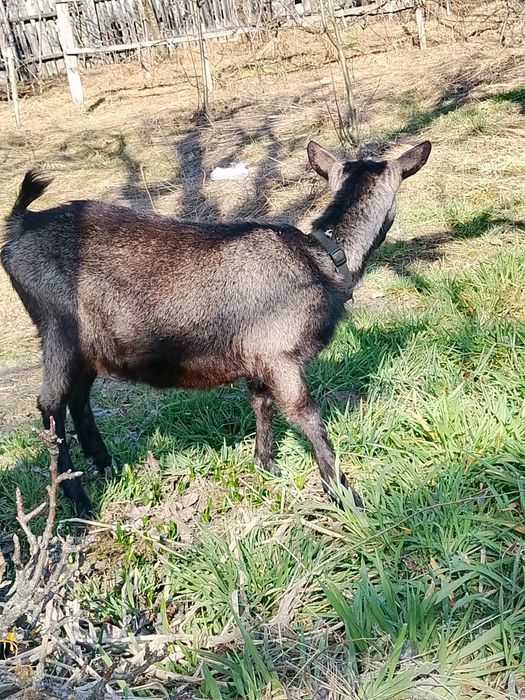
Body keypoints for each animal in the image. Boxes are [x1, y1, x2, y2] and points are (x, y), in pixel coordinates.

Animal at [1, 140, 431, 515]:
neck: (321, 260)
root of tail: (20, 224)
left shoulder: (257, 358)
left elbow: (261, 403)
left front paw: (265, 465)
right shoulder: (280, 355)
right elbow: (307, 416)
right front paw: (346, 497)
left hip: (91, 346)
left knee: (78, 398)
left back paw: (107, 466)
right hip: (58, 328)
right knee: (50, 405)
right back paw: (78, 500)